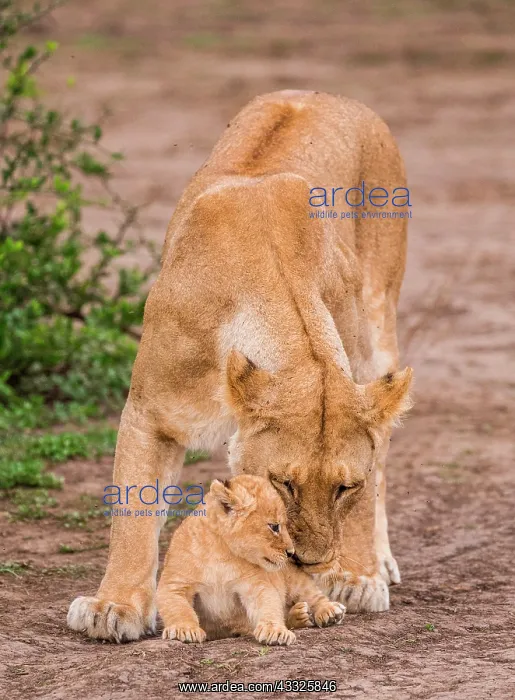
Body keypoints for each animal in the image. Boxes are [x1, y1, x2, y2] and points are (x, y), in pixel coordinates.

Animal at [157, 475, 345, 645]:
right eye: (274, 526)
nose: (291, 553)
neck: (221, 552)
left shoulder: (256, 585)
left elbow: (268, 605)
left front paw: (275, 631)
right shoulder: (175, 584)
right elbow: (179, 609)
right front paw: (184, 629)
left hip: (294, 579)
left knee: (313, 595)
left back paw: (329, 612)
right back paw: (299, 615)